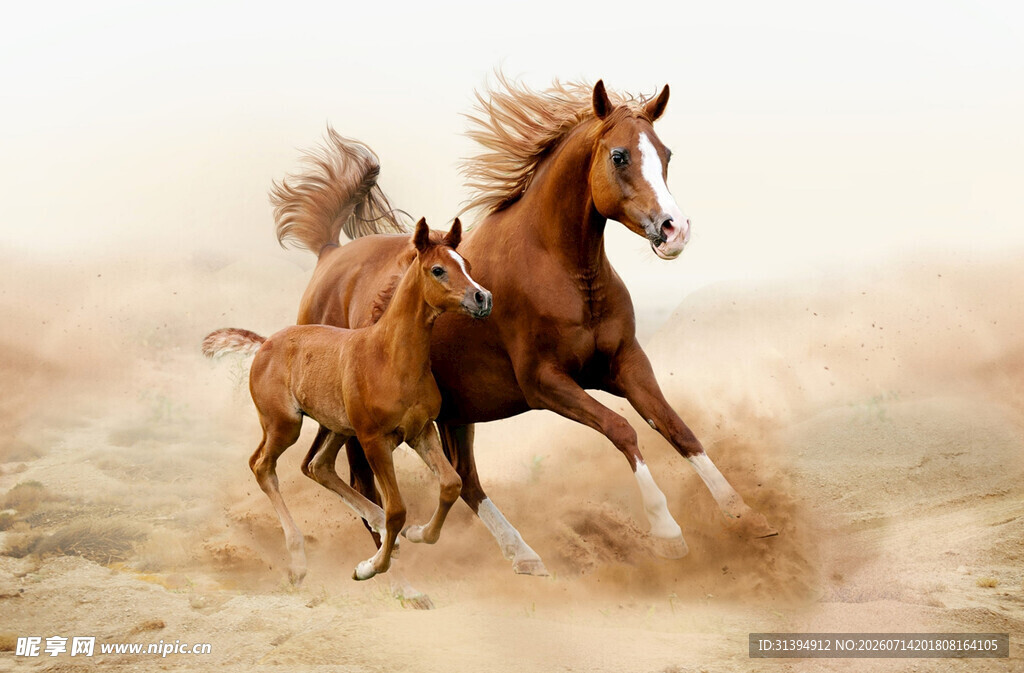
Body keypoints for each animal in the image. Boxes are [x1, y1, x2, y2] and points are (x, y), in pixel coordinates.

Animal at [202, 218, 492, 584]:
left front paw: (417, 534)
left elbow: (451, 484)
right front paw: (369, 567)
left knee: (318, 465)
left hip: (337, 427)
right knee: (262, 465)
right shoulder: (373, 440)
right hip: (285, 425)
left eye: (466, 264)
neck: (389, 358)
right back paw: (298, 560)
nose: (483, 298)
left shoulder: (420, 431)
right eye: (438, 269)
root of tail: (265, 342)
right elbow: (398, 509)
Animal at [270, 77, 777, 598]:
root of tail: (329, 255)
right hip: (360, 421)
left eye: (666, 153)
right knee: (358, 482)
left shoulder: (625, 364)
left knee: (463, 479)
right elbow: (623, 429)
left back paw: (523, 555)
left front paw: (747, 516)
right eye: (619, 156)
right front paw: (667, 532)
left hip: (454, 412)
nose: (675, 231)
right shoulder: (545, 383)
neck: (561, 269)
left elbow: (677, 428)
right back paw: (398, 579)